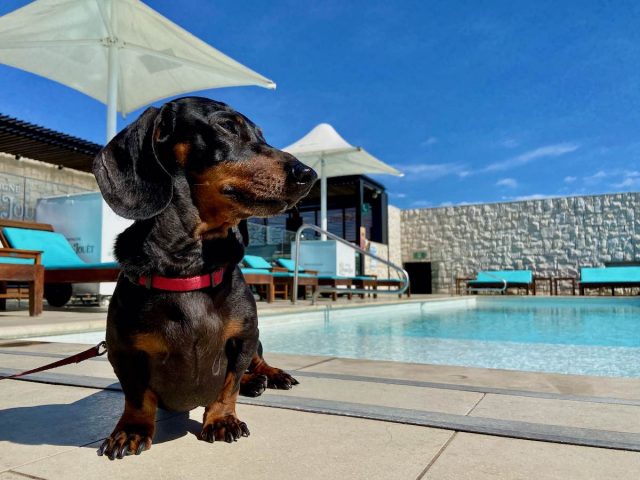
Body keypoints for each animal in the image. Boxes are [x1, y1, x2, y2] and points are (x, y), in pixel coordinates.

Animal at [91, 95, 316, 460]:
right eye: (226, 126)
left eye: (262, 134)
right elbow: (136, 396)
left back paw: (269, 376)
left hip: (257, 341)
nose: (308, 174)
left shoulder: (243, 338)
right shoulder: (122, 351)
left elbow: (229, 385)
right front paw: (131, 430)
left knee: (257, 362)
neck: (190, 268)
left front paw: (222, 419)